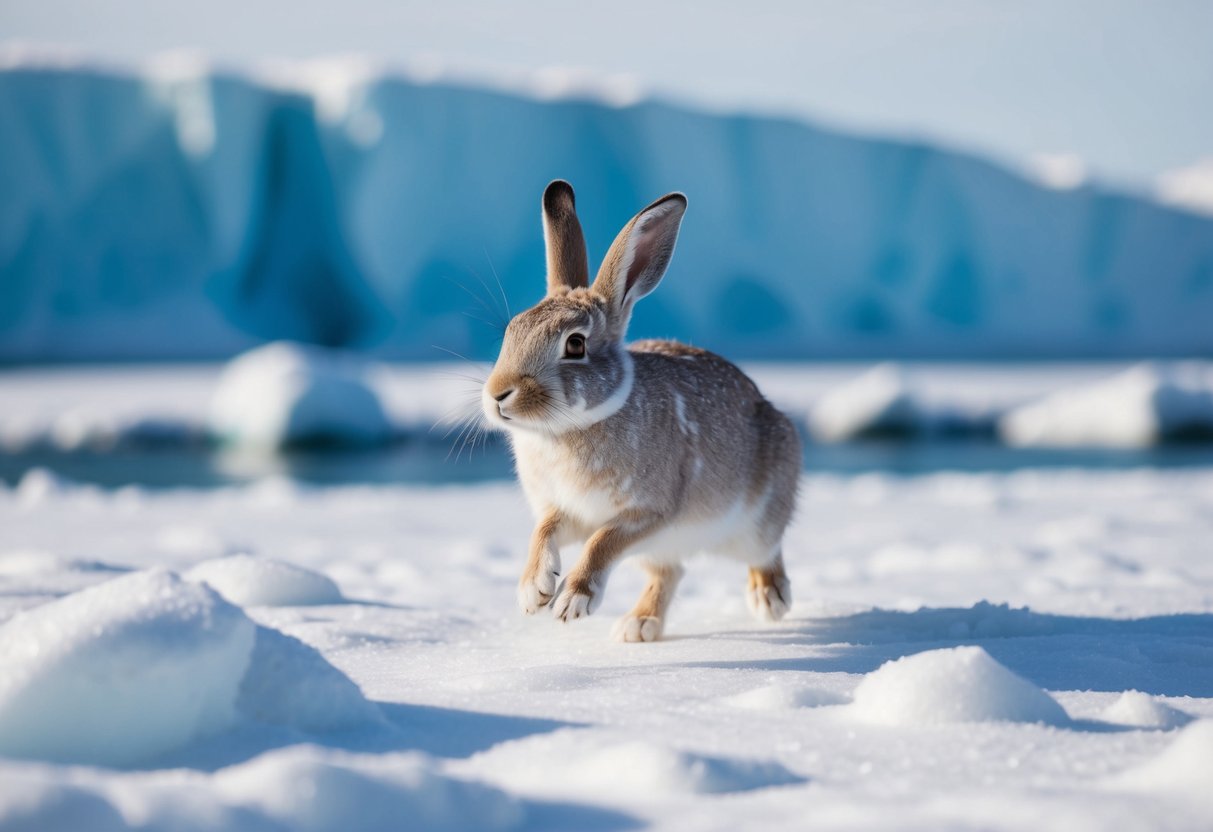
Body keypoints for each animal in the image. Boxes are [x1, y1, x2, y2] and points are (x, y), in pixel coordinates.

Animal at [481, 180, 801, 642]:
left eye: (575, 344)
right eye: (512, 330)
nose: (497, 395)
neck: (569, 428)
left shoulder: (647, 513)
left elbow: (602, 544)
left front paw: (572, 601)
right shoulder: (567, 511)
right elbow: (544, 532)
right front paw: (533, 590)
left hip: (756, 519)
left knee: (766, 550)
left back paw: (769, 599)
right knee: (671, 572)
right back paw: (638, 626)